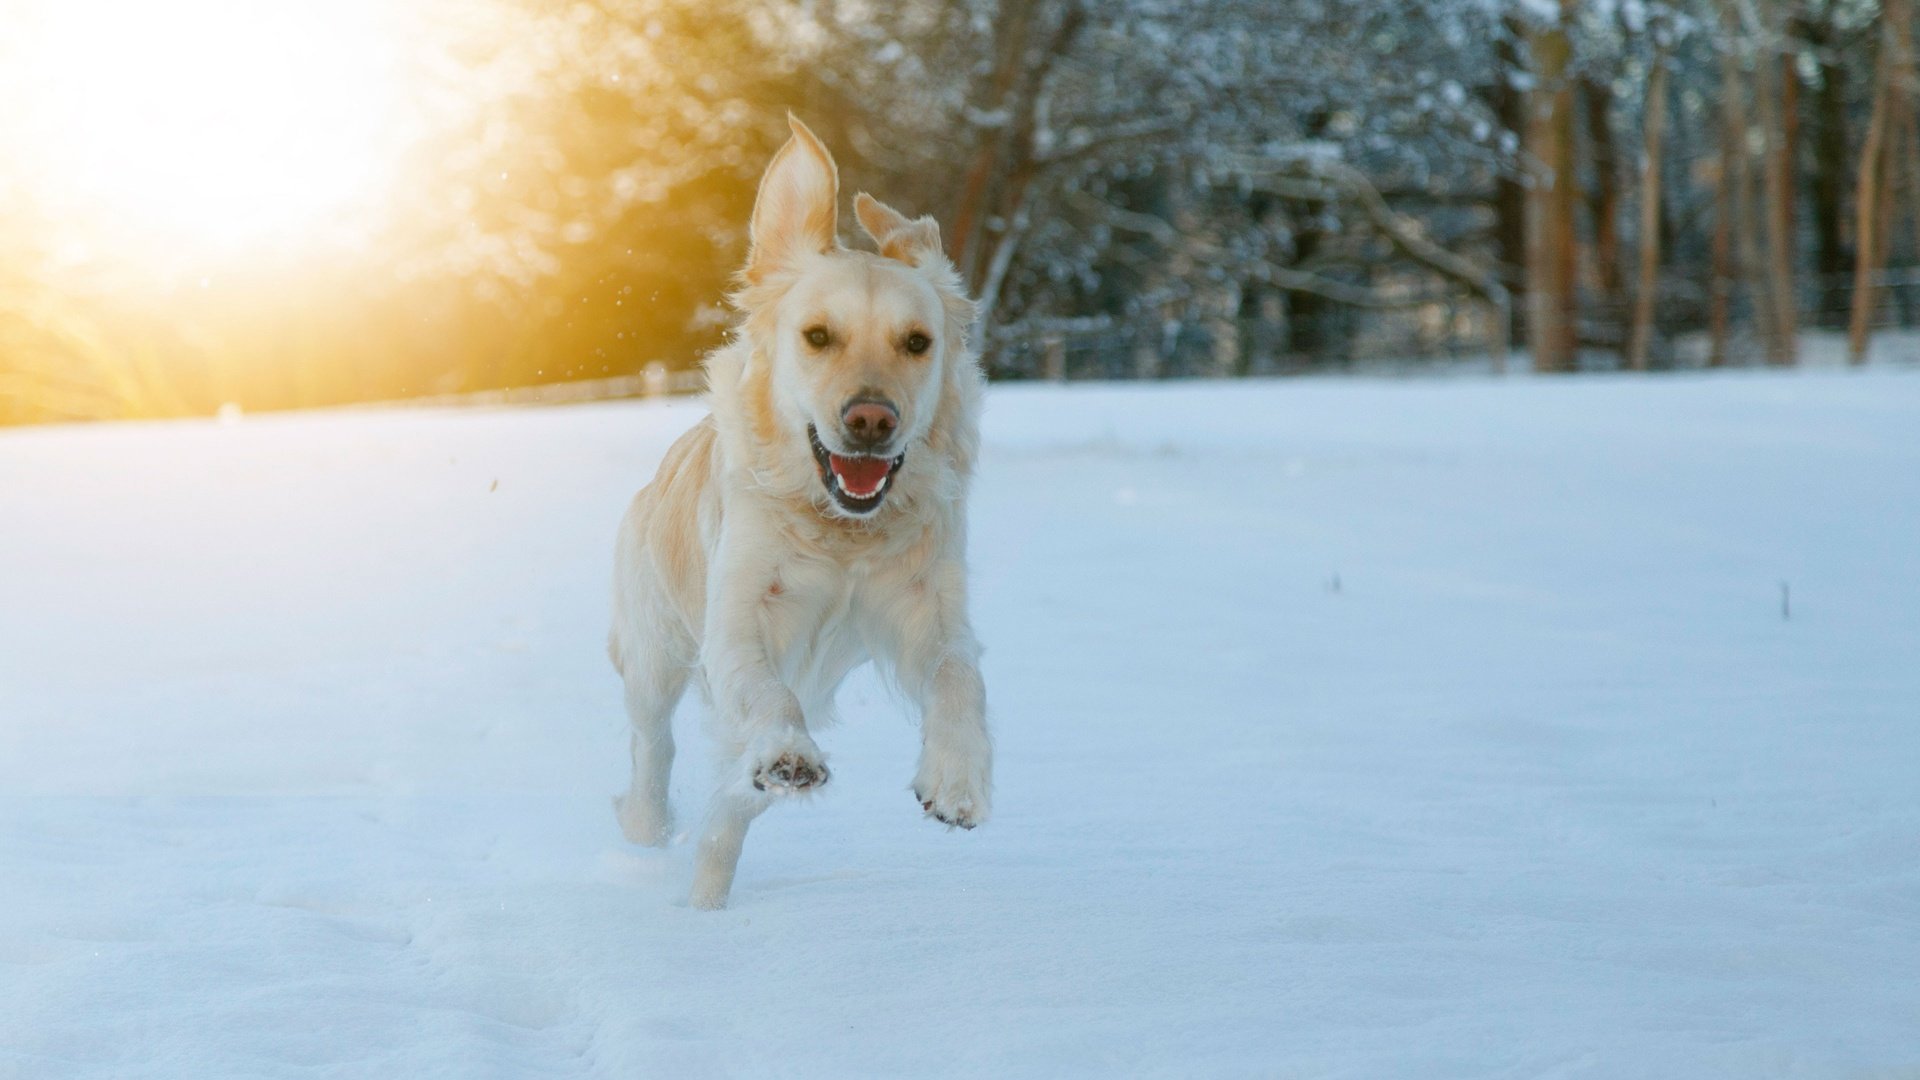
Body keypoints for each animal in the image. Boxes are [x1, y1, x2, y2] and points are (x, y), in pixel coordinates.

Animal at [606, 119, 990, 907]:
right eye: (818, 336)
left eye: (917, 342)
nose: (871, 420)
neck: (843, 530)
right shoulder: (738, 619)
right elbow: (768, 695)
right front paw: (788, 755)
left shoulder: (930, 607)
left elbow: (959, 675)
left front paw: (957, 779)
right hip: (653, 653)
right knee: (653, 748)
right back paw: (651, 833)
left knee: (727, 812)